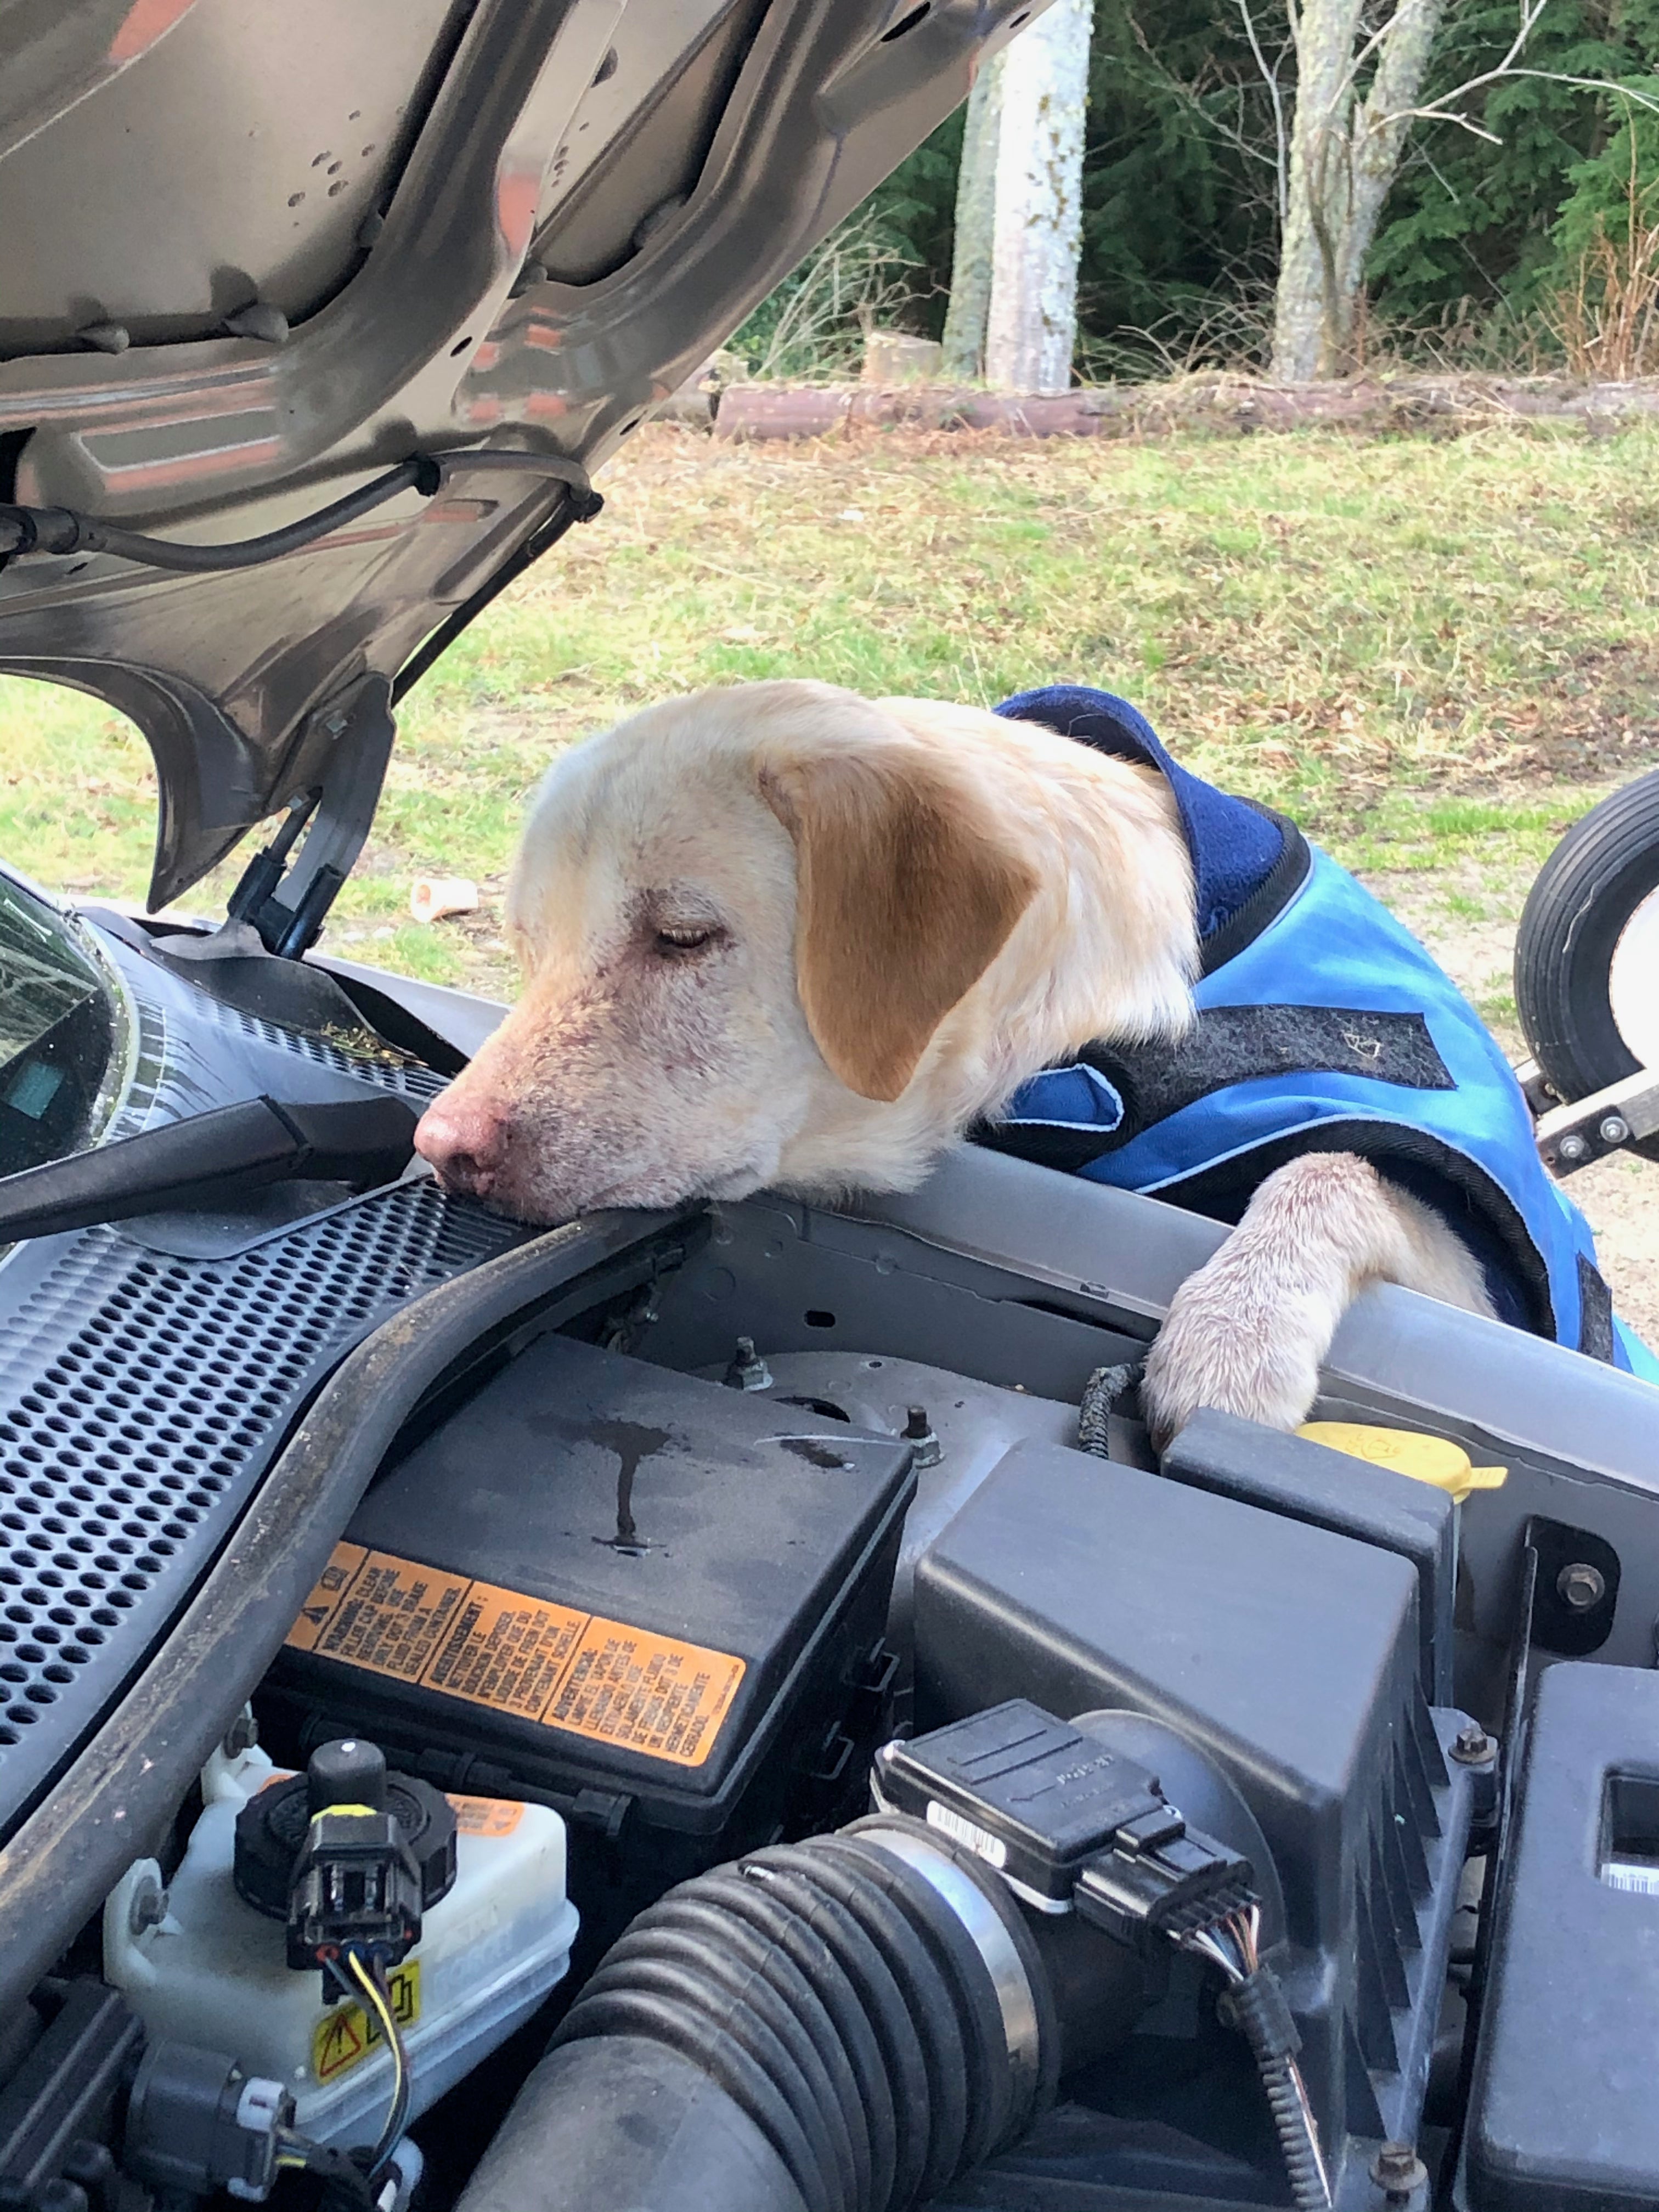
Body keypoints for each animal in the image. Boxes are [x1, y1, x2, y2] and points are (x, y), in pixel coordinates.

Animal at [416, 676, 1522, 1451]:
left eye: (683, 937)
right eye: (527, 946)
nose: (441, 1146)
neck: (1067, 1043)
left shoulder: (1480, 1283)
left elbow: (1330, 1166)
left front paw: (1233, 1337)